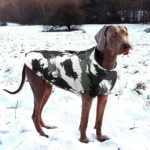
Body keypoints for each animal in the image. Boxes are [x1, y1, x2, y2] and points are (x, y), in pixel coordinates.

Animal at [3, 25, 132, 143]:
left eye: (126, 33)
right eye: (113, 34)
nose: (127, 46)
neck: (105, 66)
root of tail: (26, 58)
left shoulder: (104, 97)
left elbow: (99, 121)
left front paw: (100, 138)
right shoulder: (87, 98)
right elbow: (84, 121)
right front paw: (84, 140)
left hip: (47, 90)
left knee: (39, 111)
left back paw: (46, 127)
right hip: (38, 89)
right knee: (35, 114)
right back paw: (43, 134)